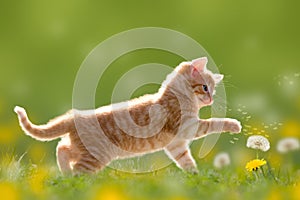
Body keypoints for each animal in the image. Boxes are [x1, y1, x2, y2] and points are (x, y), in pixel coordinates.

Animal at [14, 57, 241, 174]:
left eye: (212, 90)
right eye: (205, 88)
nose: (210, 100)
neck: (178, 96)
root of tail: (74, 116)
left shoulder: (175, 144)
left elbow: (186, 161)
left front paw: (194, 177)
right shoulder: (187, 126)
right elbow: (213, 123)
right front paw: (234, 124)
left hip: (84, 149)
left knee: (62, 149)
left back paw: (65, 173)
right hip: (97, 155)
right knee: (77, 170)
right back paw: (72, 181)